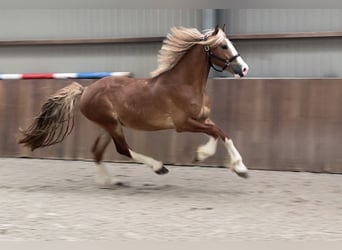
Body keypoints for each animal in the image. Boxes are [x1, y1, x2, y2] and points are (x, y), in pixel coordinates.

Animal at [18, 25, 248, 187]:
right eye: (224, 46)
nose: (244, 68)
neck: (184, 84)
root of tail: (86, 90)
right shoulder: (183, 124)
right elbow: (219, 132)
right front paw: (239, 167)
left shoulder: (202, 118)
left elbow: (220, 133)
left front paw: (207, 156)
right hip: (111, 125)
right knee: (123, 149)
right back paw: (158, 167)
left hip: (108, 126)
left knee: (97, 151)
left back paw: (109, 181)